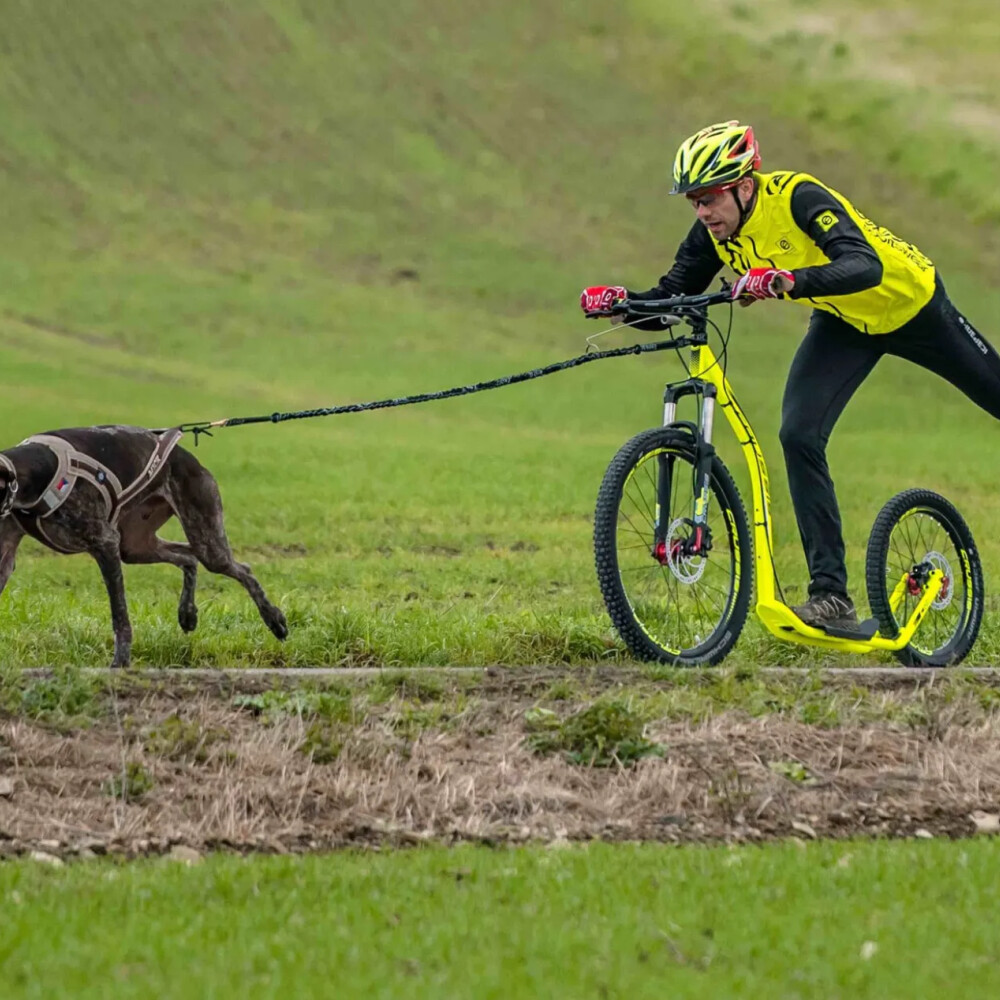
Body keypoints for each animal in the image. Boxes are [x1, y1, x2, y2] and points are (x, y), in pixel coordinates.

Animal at [0, 426, 290, 668]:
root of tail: (189, 458)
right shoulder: (5, 556)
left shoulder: (106, 543)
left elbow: (120, 616)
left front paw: (121, 663)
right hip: (135, 545)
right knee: (188, 557)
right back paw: (187, 613)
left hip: (206, 540)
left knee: (242, 569)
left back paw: (274, 619)